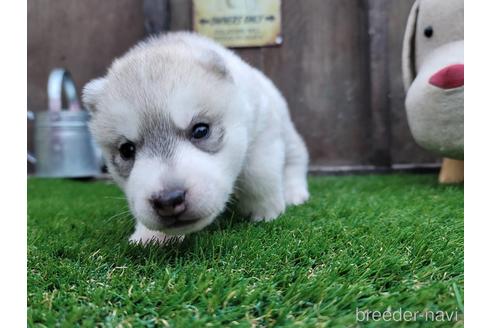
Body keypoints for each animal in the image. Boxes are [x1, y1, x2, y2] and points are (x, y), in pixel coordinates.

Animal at [82, 32, 310, 243]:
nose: (168, 201)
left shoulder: (262, 130)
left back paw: (294, 192)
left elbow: (259, 173)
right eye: (126, 150)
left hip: (286, 130)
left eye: (200, 130)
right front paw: (150, 236)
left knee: (296, 159)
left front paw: (265, 210)